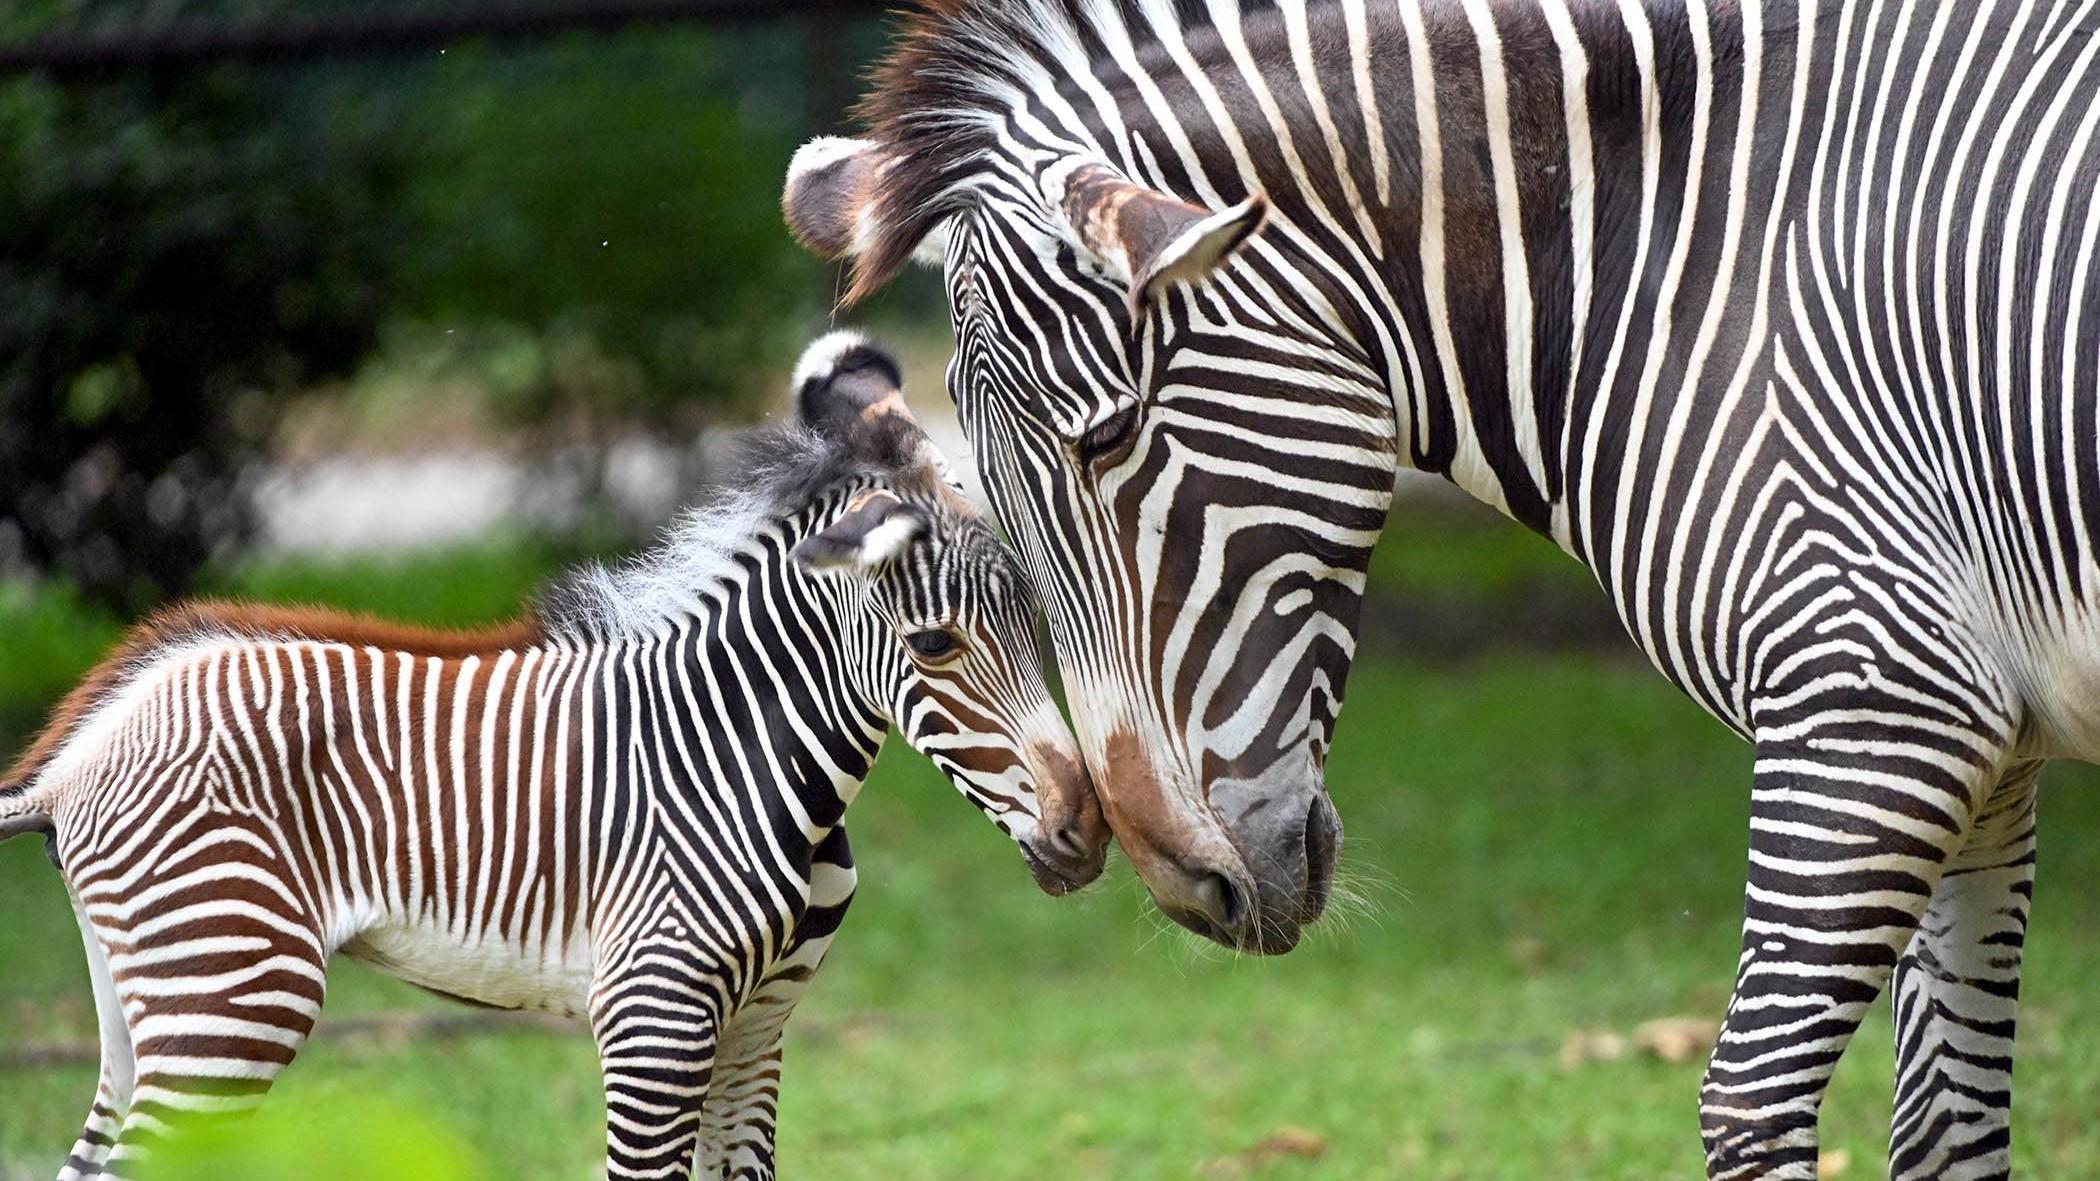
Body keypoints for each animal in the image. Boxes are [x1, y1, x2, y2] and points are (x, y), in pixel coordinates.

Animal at [785, 0, 2100, 1168]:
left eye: (1107, 438)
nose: (1188, 889)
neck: (1672, 255)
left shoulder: (1874, 708)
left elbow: (1747, 1096)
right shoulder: (1987, 754)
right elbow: (1946, 1130)